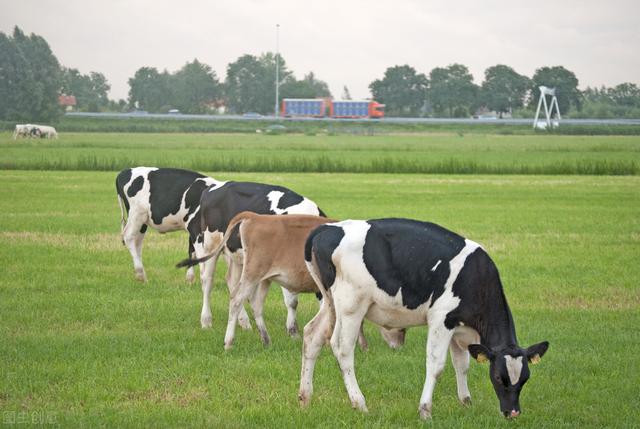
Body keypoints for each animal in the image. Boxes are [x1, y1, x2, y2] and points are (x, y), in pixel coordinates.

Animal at [302, 219, 552, 420]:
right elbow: (436, 366)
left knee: (312, 336)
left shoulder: (458, 328)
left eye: (525, 379)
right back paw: (359, 403)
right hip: (351, 306)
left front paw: (466, 403)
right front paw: (425, 410)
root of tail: (327, 228)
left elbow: (462, 365)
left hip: (329, 302)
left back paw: (305, 398)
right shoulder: (441, 320)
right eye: (499, 378)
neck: (476, 277)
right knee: (342, 348)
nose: (513, 412)